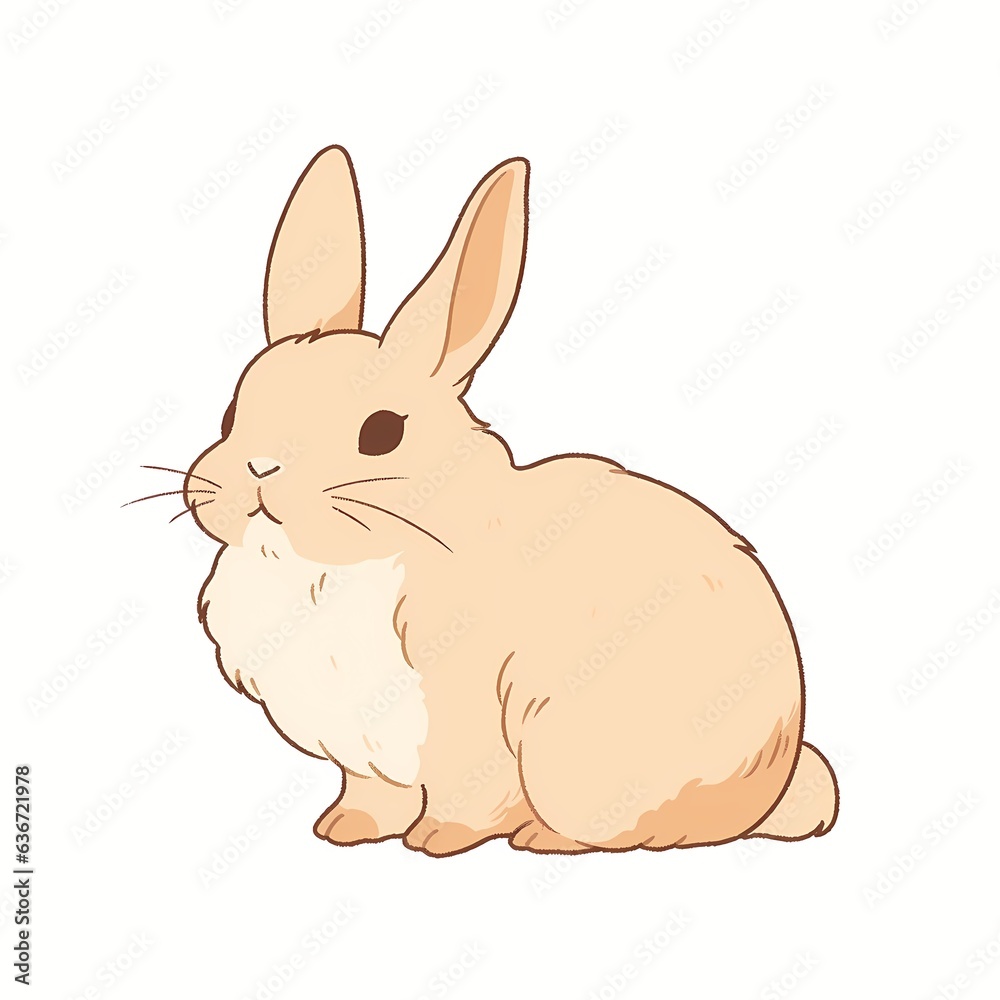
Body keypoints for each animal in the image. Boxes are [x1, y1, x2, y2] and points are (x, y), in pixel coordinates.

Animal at [185, 145, 838, 855]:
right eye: (231, 413)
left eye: (382, 433)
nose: (259, 470)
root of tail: (775, 784)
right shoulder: (363, 755)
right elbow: (373, 795)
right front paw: (343, 830)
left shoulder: (466, 721)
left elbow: (468, 794)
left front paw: (435, 840)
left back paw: (541, 838)